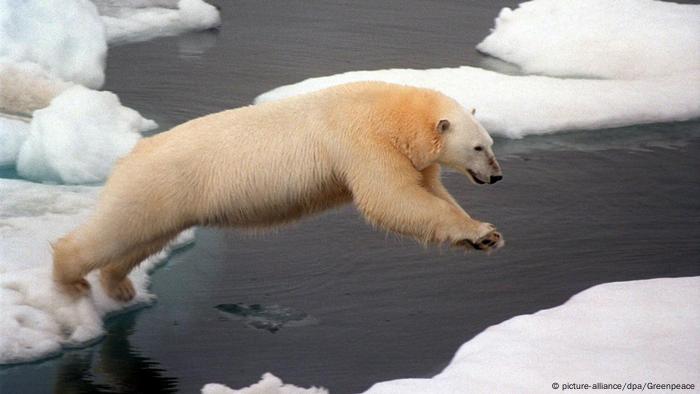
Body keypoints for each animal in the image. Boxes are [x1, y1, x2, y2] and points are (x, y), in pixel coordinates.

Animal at [53, 81, 504, 302]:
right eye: (478, 148)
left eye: (490, 143)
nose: (497, 176)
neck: (394, 112)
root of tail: (128, 156)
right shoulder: (362, 140)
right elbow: (391, 198)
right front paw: (482, 232)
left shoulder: (411, 155)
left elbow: (428, 191)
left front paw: (485, 235)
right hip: (157, 183)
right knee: (116, 229)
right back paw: (70, 279)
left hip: (168, 199)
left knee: (144, 238)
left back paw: (119, 284)